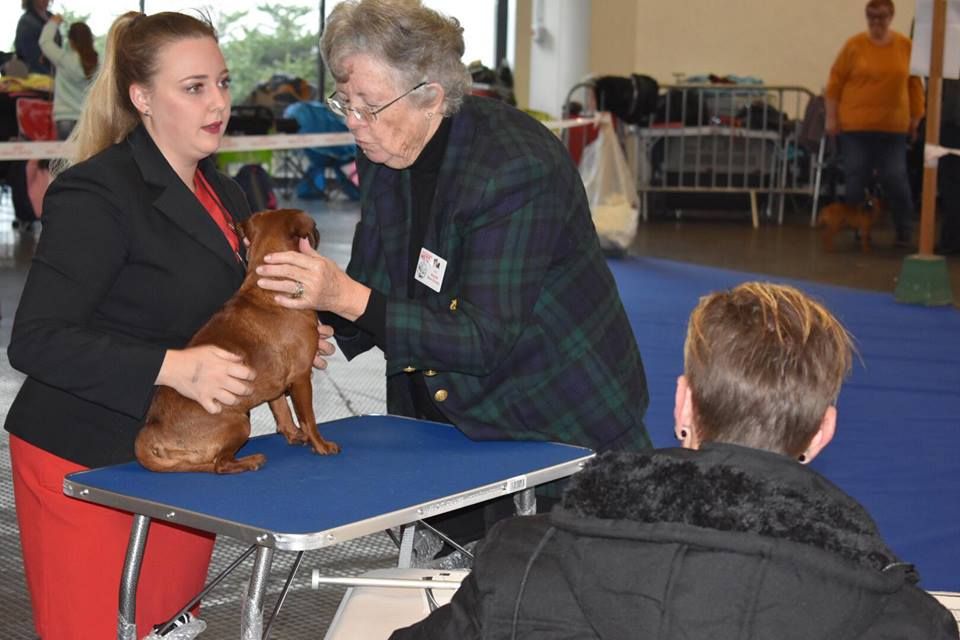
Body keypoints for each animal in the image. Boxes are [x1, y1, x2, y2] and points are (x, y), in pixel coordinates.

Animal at [135, 210, 338, 476]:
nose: (317, 231)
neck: (267, 287)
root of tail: (151, 431)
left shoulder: (277, 384)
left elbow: (281, 409)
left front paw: (293, 435)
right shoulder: (302, 378)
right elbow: (308, 418)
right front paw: (320, 444)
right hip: (240, 422)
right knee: (221, 464)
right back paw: (251, 460)